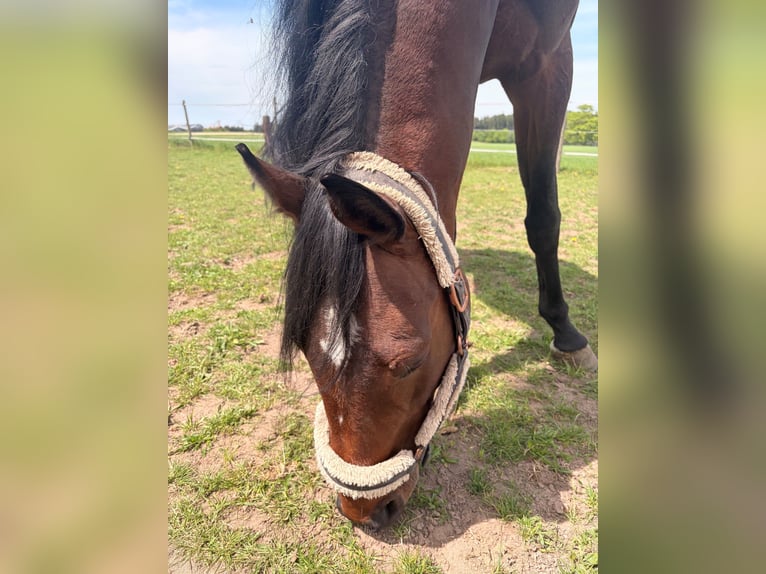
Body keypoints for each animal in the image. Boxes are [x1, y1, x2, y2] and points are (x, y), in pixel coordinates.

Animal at [236, 0, 597, 530]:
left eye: (409, 363)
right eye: (304, 349)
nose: (362, 512)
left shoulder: (548, 63)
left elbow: (544, 214)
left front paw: (567, 334)